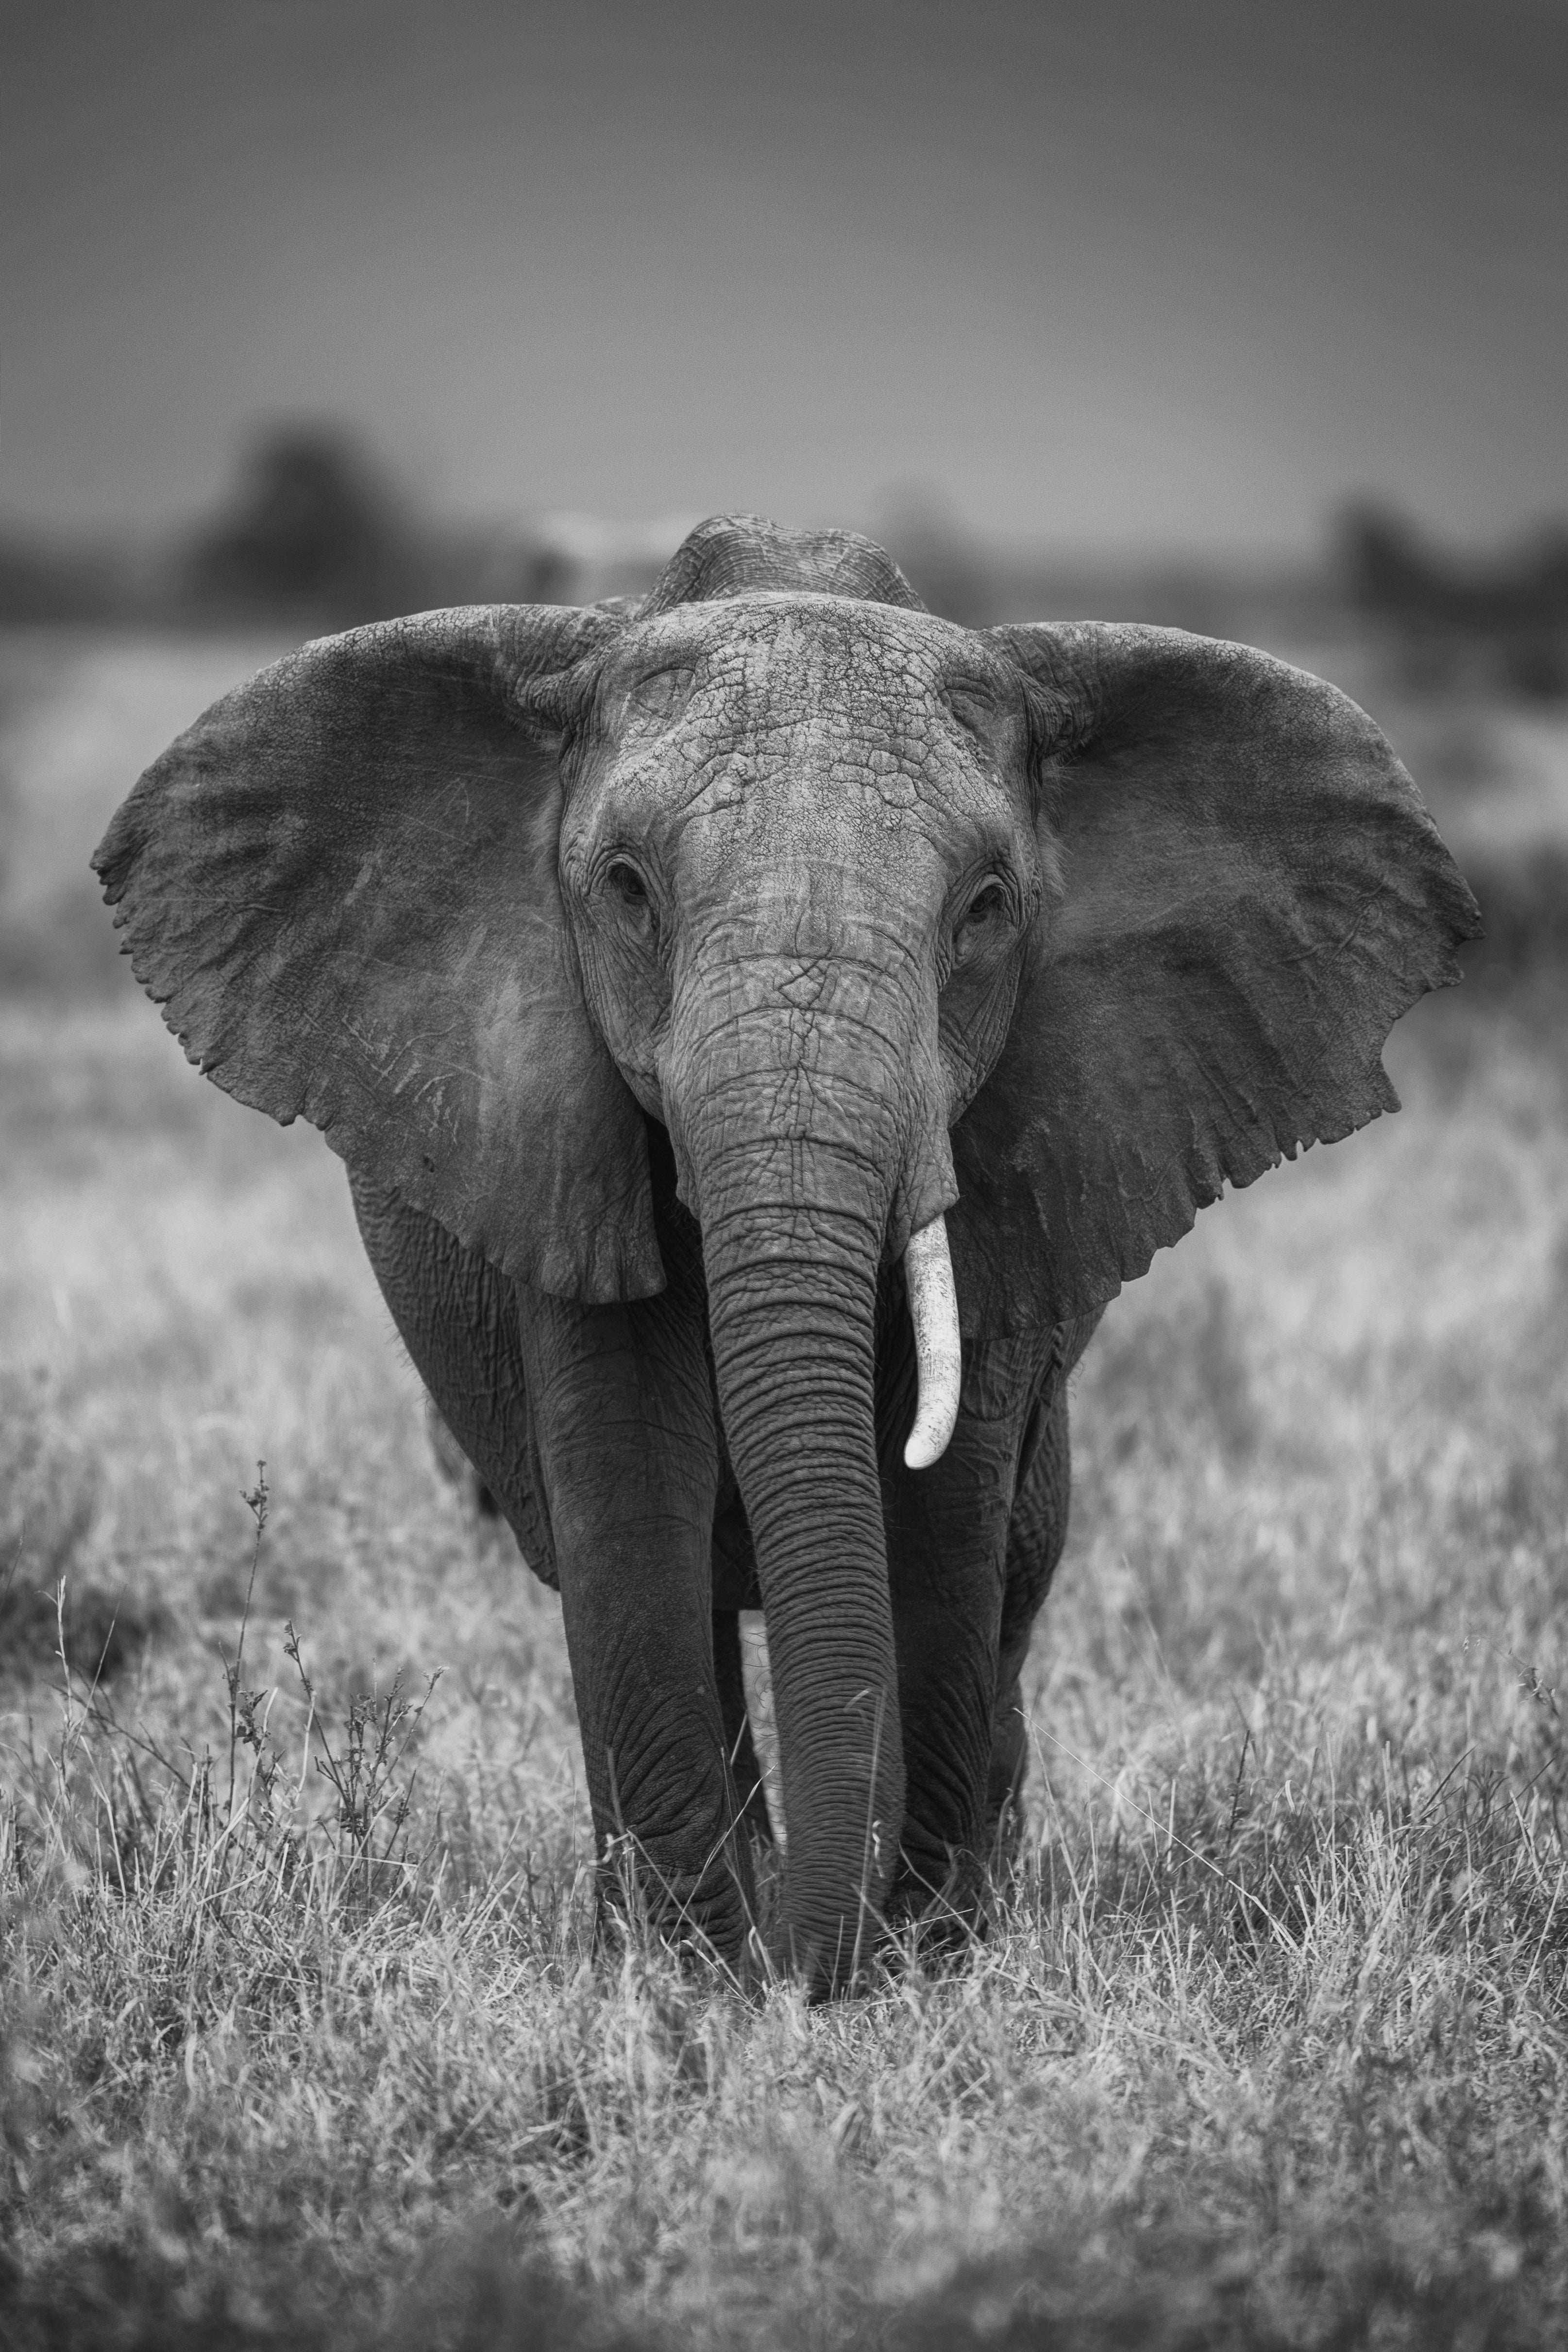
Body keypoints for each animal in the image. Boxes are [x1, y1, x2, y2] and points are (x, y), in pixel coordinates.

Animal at [94, 513, 1480, 1996]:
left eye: (985, 906)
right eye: (626, 890)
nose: (813, 1968)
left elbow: (943, 1516)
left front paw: (914, 1960)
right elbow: (629, 1491)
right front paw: (688, 1975)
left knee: (1016, 1571)